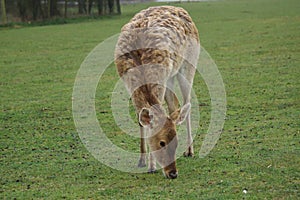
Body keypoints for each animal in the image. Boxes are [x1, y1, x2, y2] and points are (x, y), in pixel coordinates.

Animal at [114, 5, 199, 179]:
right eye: (162, 143)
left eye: (175, 142)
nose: (173, 173)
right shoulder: (129, 86)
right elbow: (141, 119)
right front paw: (142, 161)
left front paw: (152, 166)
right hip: (170, 77)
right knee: (174, 106)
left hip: (189, 64)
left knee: (187, 102)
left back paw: (190, 150)